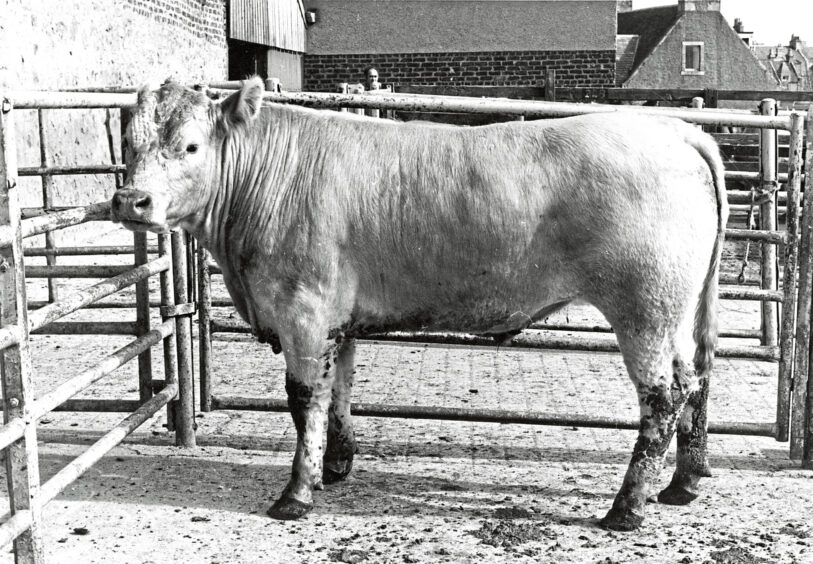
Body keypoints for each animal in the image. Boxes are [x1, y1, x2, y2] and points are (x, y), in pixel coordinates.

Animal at [111, 77, 728, 532]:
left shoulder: (303, 313)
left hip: (643, 310)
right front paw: (337, 465)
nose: (130, 200)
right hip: (674, 313)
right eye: (131, 144)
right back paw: (682, 484)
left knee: (662, 398)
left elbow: (304, 401)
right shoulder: (338, 321)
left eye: (190, 146)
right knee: (695, 380)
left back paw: (626, 508)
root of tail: (673, 131)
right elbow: (339, 392)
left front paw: (297, 492)